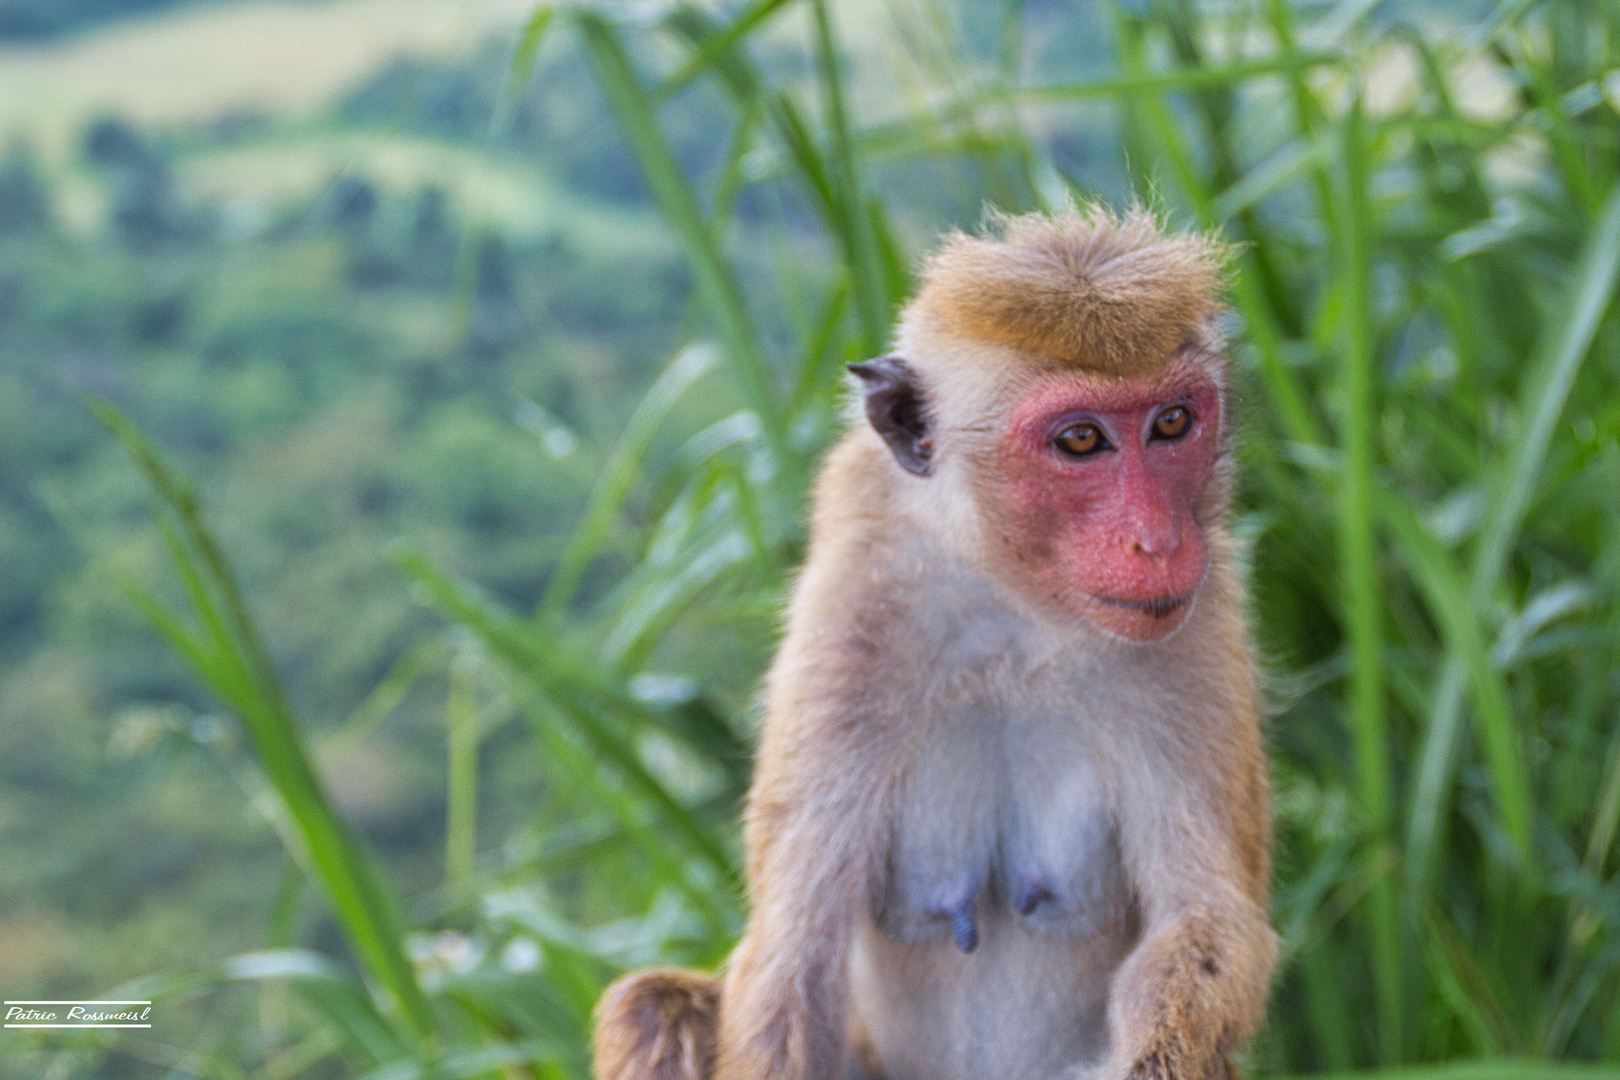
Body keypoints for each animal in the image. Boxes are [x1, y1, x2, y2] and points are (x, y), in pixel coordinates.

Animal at [589, 204, 1270, 1080]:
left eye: (1174, 422)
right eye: (1081, 441)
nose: (1159, 540)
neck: (1011, 615)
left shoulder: (1198, 626)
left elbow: (1209, 923)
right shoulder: (850, 615)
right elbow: (791, 959)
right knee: (650, 1001)